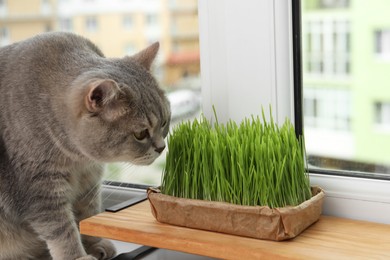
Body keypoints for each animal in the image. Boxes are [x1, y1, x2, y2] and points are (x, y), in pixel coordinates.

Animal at [0, 32, 171, 260]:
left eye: (164, 122)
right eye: (140, 134)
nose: (161, 148)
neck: (79, 160)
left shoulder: (90, 180)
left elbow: (87, 215)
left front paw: (95, 244)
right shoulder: (41, 191)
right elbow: (62, 231)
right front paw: (77, 257)